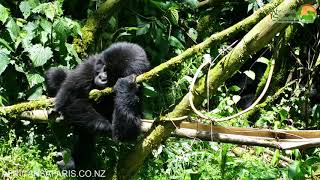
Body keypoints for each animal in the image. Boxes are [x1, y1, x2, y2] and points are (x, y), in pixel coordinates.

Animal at [44, 41, 151, 170]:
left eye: (112, 76)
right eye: (104, 69)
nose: (102, 78)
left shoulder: (139, 87)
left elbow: (128, 132)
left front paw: (125, 84)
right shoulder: (89, 67)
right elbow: (69, 100)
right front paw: (105, 125)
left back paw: (74, 163)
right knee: (54, 75)